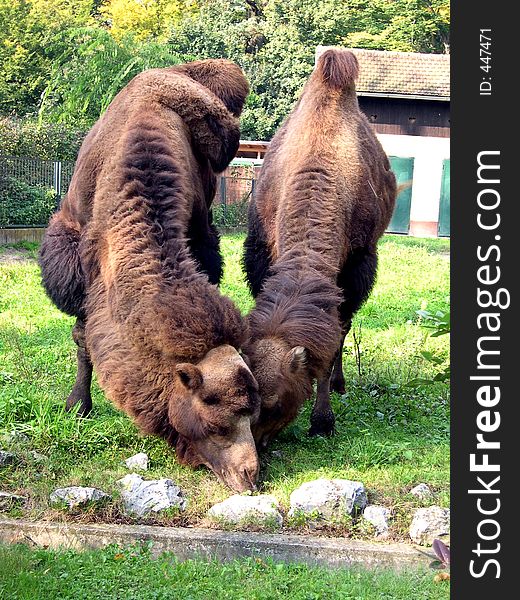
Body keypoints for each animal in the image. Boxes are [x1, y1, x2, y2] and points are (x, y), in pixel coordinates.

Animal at [39, 61, 264, 492]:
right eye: (216, 423)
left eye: (252, 413)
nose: (250, 474)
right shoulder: (83, 263)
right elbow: (82, 336)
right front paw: (77, 406)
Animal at [242, 49, 396, 448]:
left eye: (276, 403)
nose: (257, 445)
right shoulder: (261, 252)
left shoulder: (358, 264)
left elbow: (335, 335)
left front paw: (323, 420)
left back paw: (341, 385)